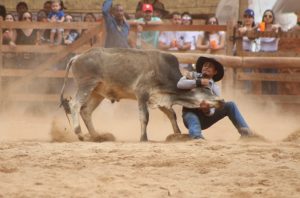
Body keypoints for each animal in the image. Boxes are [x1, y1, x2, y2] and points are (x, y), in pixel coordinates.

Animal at [59, 47, 223, 141]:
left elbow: (172, 115)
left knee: (86, 111)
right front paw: (144, 138)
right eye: (206, 89)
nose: (221, 100)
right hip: (86, 86)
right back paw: (80, 133)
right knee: (75, 105)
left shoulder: (159, 98)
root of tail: (78, 56)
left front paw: (177, 134)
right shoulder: (142, 94)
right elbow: (145, 117)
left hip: (97, 93)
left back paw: (96, 136)